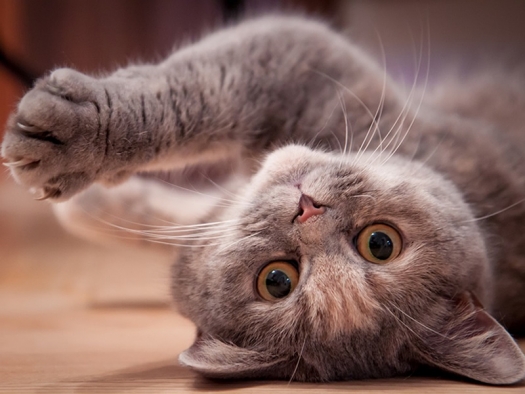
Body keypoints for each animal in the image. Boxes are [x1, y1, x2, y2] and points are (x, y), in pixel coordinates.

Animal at [1, 15, 524, 384]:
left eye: (276, 281)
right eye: (381, 244)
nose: (307, 209)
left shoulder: (301, 59)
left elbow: (198, 93)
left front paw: (68, 145)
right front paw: (93, 206)